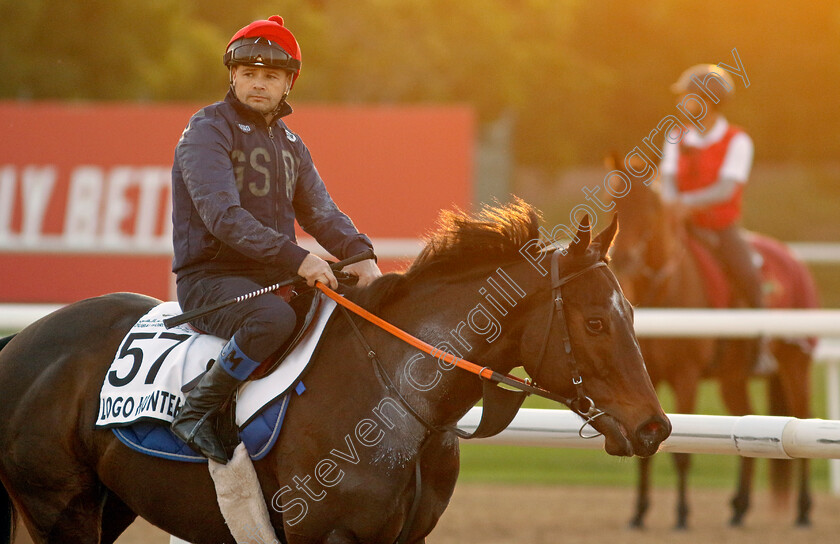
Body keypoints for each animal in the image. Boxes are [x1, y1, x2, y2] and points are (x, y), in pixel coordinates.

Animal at [0, 201, 668, 544]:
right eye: (595, 323)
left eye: (632, 313)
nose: (654, 427)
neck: (397, 398)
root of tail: (19, 343)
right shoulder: (328, 538)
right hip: (58, 508)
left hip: (108, 504)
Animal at [612, 181, 820, 528]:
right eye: (612, 202)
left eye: (651, 209)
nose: (622, 257)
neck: (667, 288)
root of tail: (795, 261)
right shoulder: (644, 377)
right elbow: (644, 447)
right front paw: (639, 513)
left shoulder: (686, 377)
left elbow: (681, 455)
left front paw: (682, 514)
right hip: (732, 380)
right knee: (747, 420)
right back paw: (739, 507)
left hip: (795, 367)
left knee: (802, 421)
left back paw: (803, 510)